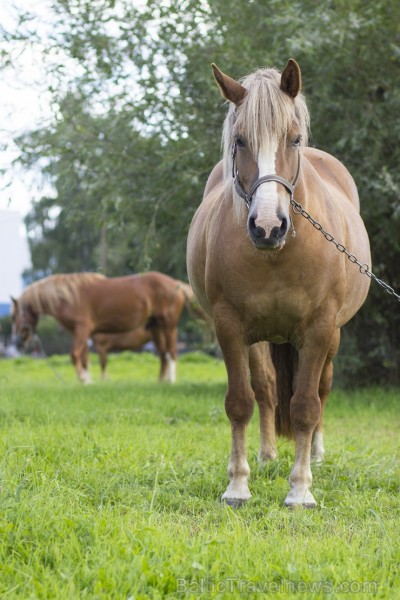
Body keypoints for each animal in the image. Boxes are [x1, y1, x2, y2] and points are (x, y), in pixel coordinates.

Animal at [12, 272, 198, 384]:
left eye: (14, 316)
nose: (18, 342)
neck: (69, 297)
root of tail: (177, 284)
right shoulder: (82, 334)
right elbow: (85, 358)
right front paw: (88, 380)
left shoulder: (82, 330)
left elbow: (75, 355)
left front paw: (83, 379)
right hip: (156, 327)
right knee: (163, 355)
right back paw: (160, 381)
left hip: (168, 326)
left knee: (171, 352)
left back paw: (171, 381)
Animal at [188, 59, 372, 506]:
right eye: (240, 141)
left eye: (294, 139)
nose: (268, 226)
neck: (278, 255)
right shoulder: (229, 326)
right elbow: (241, 402)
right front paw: (238, 485)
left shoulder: (320, 328)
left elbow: (306, 405)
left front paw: (300, 489)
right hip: (259, 339)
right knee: (267, 389)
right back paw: (268, 454)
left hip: (332, 337)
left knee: (322, 390)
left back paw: (317, 454)